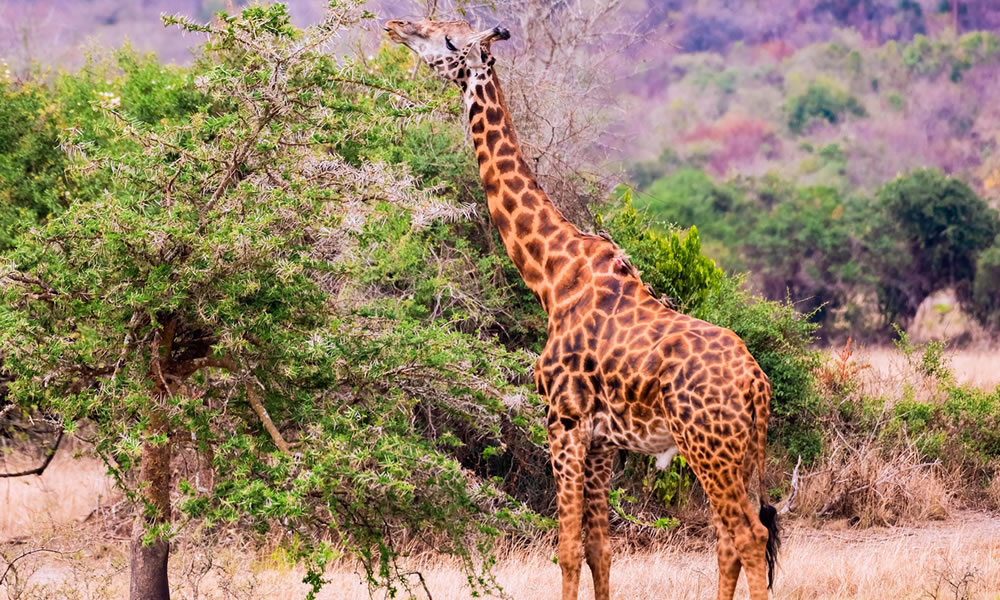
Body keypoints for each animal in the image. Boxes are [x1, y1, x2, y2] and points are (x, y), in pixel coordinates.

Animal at [384, 18, 780, 600]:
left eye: (451, 41)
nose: (395, 25)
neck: (552, 275)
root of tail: (757, 385)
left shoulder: (563, 420)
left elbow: (567, 548)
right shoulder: (603, 440)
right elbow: (600, 548)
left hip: (709, 446)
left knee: (749, 535)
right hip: (740, 453)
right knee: (731, 538)